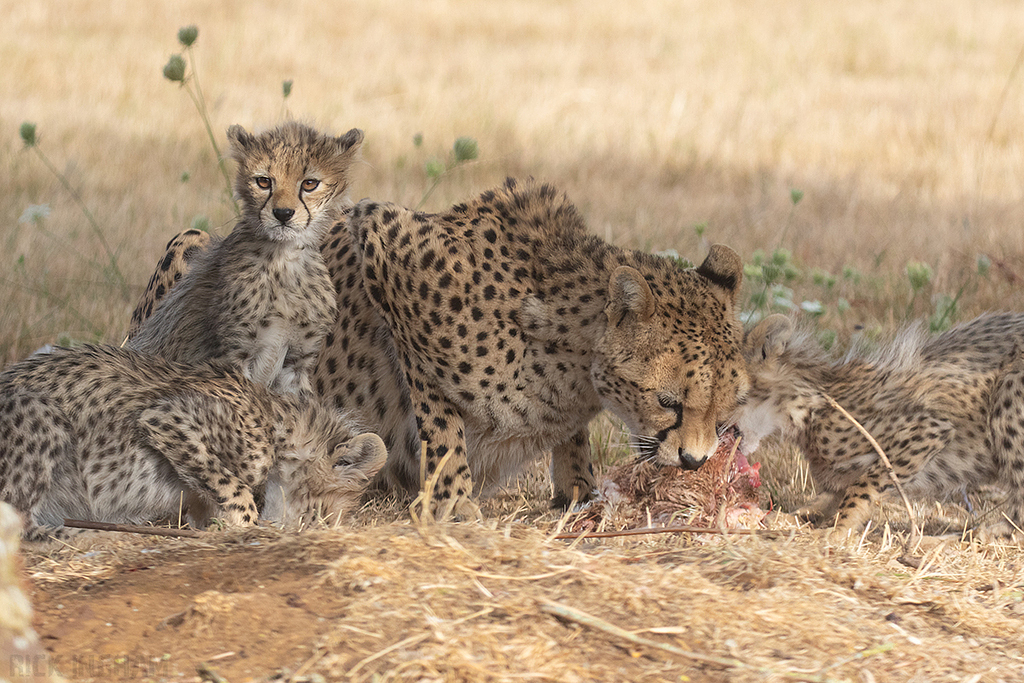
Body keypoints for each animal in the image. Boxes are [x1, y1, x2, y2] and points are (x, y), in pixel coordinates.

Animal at [0, 344, 386, 539]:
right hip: (41, 411)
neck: (279, 424)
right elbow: (237, 491)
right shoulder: (168, 417)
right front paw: (242, 525)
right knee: (20, 526)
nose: (292, 534)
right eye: (320, 515)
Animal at [127, 178, 748, 518]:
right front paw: (453, 502)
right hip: (191, 249)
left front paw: (578, 490)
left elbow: (570, 447)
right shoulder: (385, 239)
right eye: (669, 401)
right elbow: (438, 416)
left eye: (726, 407)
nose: (696, 460)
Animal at [129, 121, 363, 398]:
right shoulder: (233, 358)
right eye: (263, 181)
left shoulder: (296, 363)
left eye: (309, 184)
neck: (284, 259)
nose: (283, 213)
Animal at [732, 312, 1024, 539]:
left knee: (1017, 522)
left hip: (1009, 391)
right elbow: (832, 493)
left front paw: (838, 529)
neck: (807, 406)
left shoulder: (929, 429)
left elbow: (863, 485)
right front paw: (795, 516)